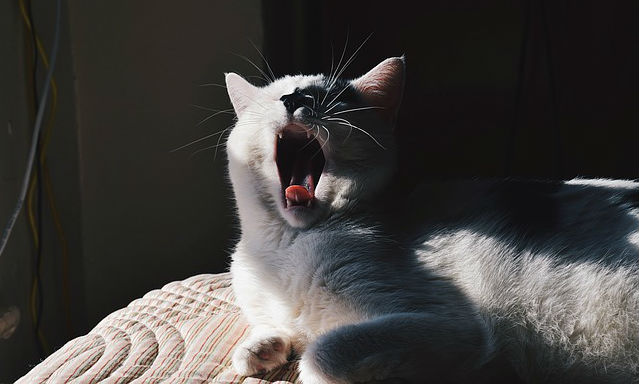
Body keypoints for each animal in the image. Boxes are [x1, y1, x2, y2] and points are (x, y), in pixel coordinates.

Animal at [222, 56, 636, 380]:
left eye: (331, 98)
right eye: (279, 96)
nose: (295, 99)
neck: (284, 246)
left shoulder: (450, 324)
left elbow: (322, 351)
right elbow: (269, 329)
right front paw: (261, 347)